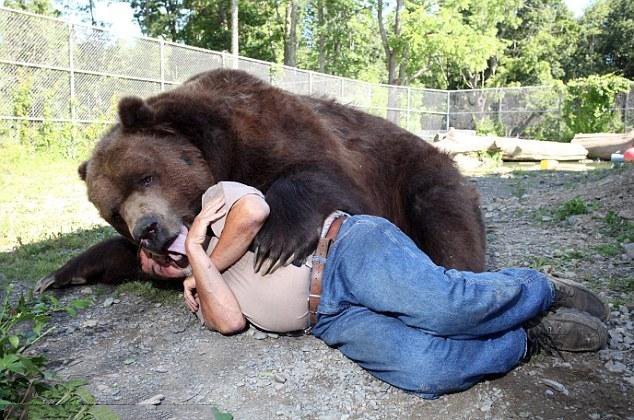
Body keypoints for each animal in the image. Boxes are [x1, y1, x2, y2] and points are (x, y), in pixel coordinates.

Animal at [35, 69, 484, 292]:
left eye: (145, 176)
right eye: (113, 210)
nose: (148, 231)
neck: (216, 154)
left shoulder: (273, 130)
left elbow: (321, 175)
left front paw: (273, 242)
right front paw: (60, 274)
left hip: (415, 170)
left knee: (445, 216)